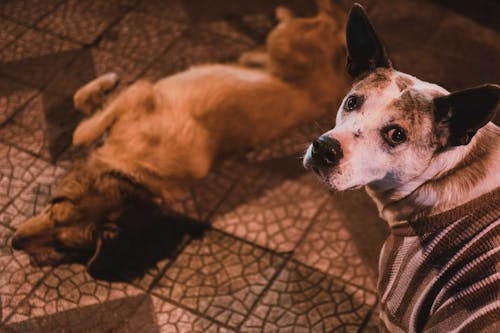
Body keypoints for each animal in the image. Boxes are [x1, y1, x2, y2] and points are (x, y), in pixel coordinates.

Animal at [10, 3, 348, 270]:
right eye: (54, 206)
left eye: (63, 242)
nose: (14, 243)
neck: (136, 171)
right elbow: (87, 111)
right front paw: (102, 92)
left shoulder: (142, 91)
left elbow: (81, 132)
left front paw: (103, 90)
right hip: (268, 53)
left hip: (284, 42)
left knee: (329, 15)